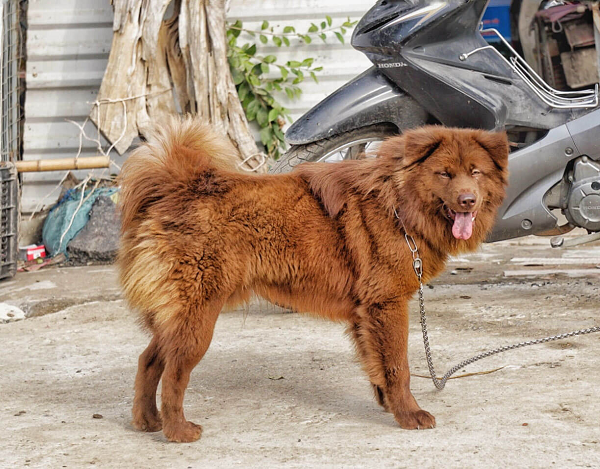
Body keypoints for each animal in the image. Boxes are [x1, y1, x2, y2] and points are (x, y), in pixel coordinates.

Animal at [119, 117, 508, 438]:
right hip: (198, 317)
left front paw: (387, 404)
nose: (468, 200)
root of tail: (177, 185)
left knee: (148, 360)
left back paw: (147, 421)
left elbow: (378, 366)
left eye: (475, 172)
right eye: (444, 174)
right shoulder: (387, 304)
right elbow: (399, 367)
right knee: (173, 372)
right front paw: (409, 414)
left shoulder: (366, 312)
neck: (398, 204)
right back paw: (177, 430)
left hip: (180, 316)